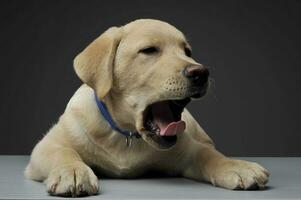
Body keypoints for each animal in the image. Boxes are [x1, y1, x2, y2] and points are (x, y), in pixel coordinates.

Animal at [24, 18, 268, 197]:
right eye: (149, 50)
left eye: (187, 52)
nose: (201, 72)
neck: (126, 134)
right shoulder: (45, 146)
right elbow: (62, 151)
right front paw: (73, 172)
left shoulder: (187, 152)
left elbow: (209, 155)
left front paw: (236, 166)